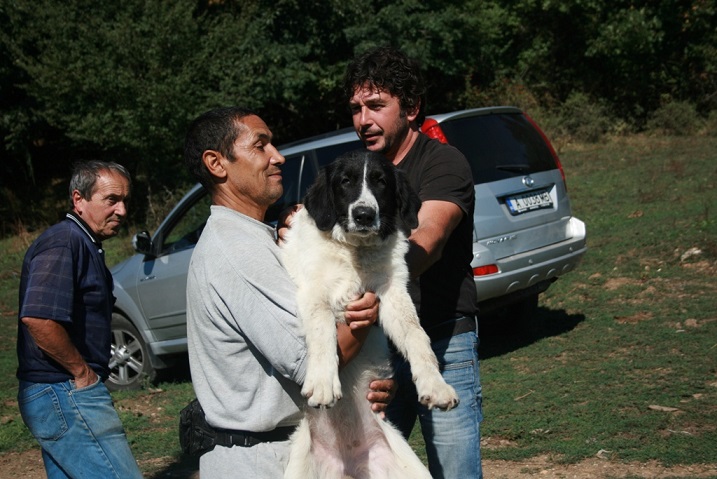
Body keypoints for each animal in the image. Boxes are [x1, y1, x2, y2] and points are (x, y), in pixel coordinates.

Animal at [280, 149, 459, 479]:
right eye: (345, 181)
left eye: (381, 182)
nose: (364, 214)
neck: (355, 251)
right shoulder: (313, 293)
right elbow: (323, 331)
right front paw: (323, 381)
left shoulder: (391, 294)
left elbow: (417, 336)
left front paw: (435, 385)